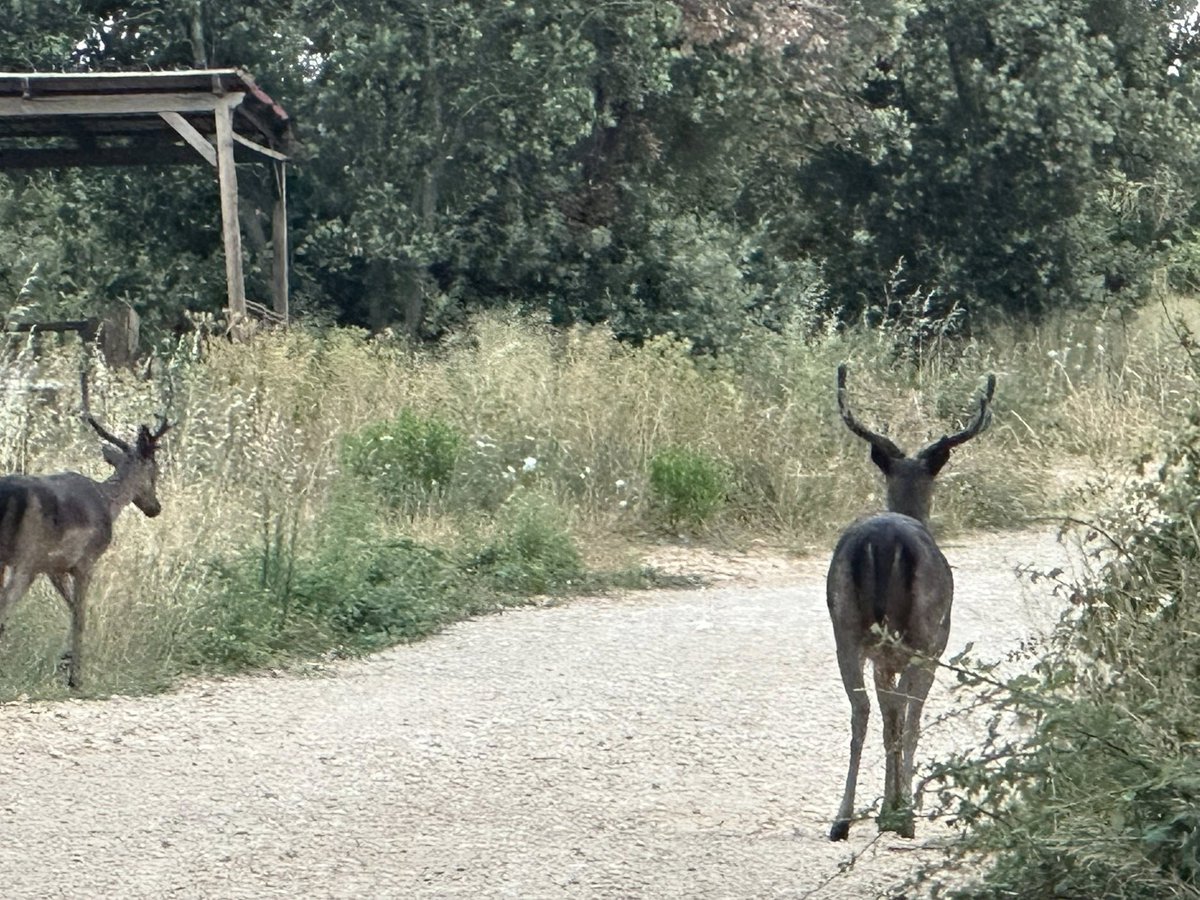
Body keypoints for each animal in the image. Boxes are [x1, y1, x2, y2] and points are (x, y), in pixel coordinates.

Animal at [0, 411, 172, 690]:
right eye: (155, 471)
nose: (155, 507)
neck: (108, 501)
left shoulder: (54, 567)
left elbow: (71, 608)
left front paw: (64, 661)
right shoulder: (86, 560)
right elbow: (80, 615)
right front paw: (75, 677)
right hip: (25, 557)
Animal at [827, 364, 995, 842]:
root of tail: (884, 543)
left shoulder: (883, 657)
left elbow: (890, 715)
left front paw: (890, 803)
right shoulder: (933, 646)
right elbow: (910, 719)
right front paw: (900, 806)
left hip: (845, 625)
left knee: (862, 710)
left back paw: (842, 819)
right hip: (922, 630)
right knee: (901, 712)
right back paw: (896, 817)